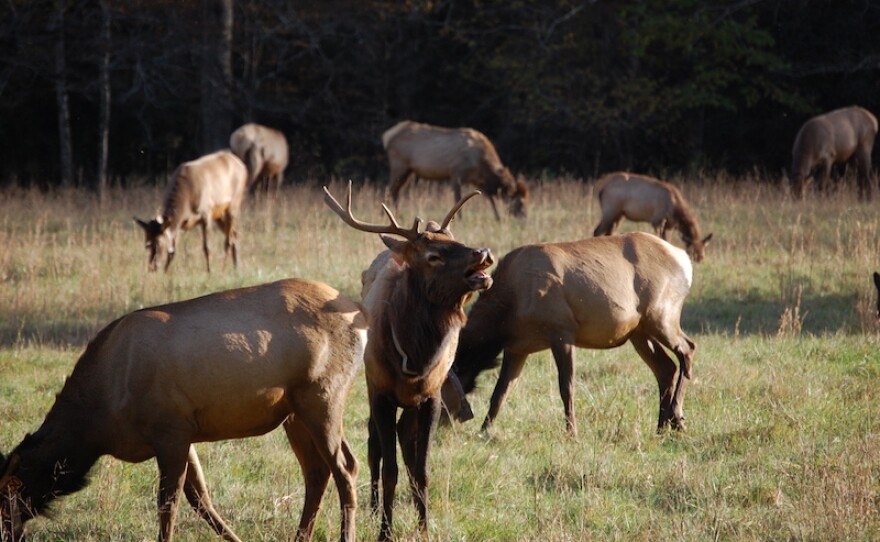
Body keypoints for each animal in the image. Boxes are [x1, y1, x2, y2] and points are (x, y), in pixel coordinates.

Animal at [0, 278, 366, 542]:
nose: (7, 534)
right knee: (318, 472)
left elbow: (169, 502)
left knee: (344, 468)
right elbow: (200, 499)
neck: (97, 424)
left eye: (5, 496)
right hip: (295, 412)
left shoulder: (170, 428)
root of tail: (360, 314)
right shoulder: (183, 430)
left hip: (322, 397)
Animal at [323, 182, 494, 541]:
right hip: (371, 386)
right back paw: (374, 508)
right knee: (373, 444)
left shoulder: (431, 396)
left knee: (403, 439)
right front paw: (385, 531)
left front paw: (424, 527)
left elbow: (421, 469)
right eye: (433, 256)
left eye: (457, 239)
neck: (415, 356)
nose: (483, 252)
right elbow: (390, 468)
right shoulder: (382, 393)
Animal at [382, 120, 528, 221]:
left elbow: (490, 197)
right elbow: (458, 198)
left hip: (409, 171)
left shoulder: (476, 180)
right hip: (399, 165)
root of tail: (387, 136)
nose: (524, 219)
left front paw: (498, 218)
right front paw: (459, 218)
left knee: (397, 191)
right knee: (390, 189)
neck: (482, 165)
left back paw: (397, 215)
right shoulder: (456, 173)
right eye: (520, 202)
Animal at [452, 232, 697, 437]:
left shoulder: (562, 330)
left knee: (688, 349)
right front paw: (483, 431)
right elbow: (500, 392)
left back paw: (677, 419)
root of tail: (684, 259)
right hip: (639, 332)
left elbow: (566, 387)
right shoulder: (517, 346)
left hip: (663, 315)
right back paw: (661, 427)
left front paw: (572, 433)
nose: (453, 419)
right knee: (666, 368)